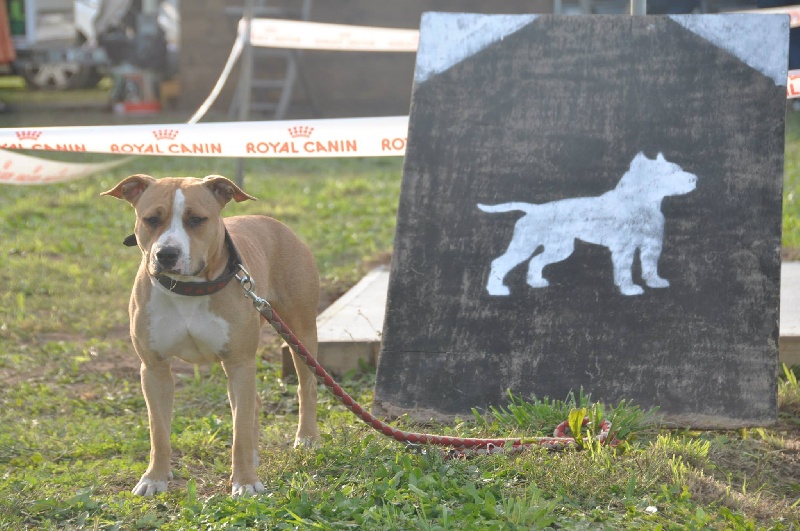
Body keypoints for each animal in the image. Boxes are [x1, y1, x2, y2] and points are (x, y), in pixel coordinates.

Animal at [101, 176, 320, 498]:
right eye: (151, 219)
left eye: (196, 220)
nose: (166, 254)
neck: (188, 288)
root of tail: (274, 223)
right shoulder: (154, 369)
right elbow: (158, 431)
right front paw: (155, 478)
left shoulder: (240, 363)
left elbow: (239, 433)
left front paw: (245, 481)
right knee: (253, 404)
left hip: (299, 333)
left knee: (306, 387)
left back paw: (306, 438)